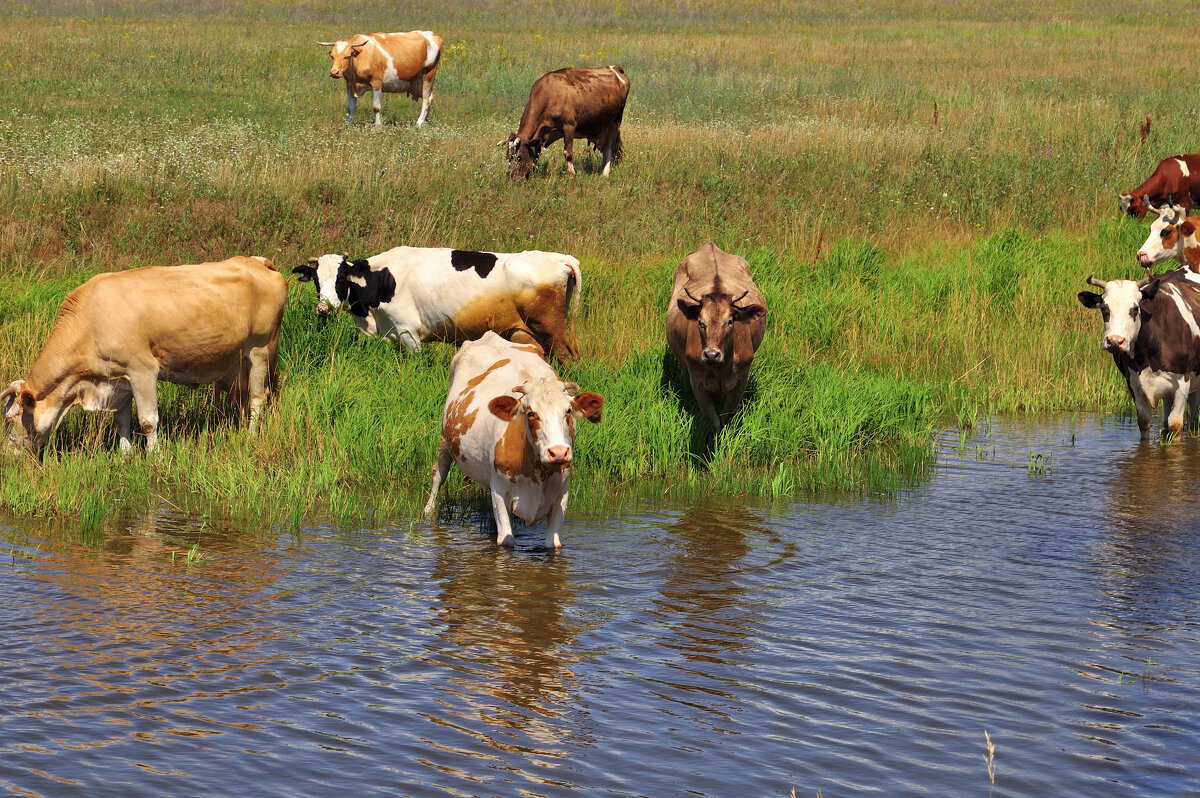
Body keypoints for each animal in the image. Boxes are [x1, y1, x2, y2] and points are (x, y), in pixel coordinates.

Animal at [2, 255, 288, 453]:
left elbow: (148, 421)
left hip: (259, 350)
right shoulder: (118, 378)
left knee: (257, 398)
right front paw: (125, 455)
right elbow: (121, 420)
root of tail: (257, 262)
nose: (7, 456)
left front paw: (155, 456)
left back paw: (250, 436)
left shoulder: (143, 371)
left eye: (9, 419)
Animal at [295, 247, 585, 360]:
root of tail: (559, 257)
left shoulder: (409, 332)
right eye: (316, 280)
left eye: (341, 278)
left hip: (551, 330)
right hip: (526, 335)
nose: (323, 309)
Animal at [427, 328, 604, 547]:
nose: (558, 453)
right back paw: (428, 511)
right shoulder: (499, 492)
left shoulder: (561, 493)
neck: (538, 472)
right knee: (439, 473)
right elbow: (506, 539)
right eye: (531, 413)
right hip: (445, 436)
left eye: (568, 411)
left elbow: (553, 543)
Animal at [501, 64, 633, 180]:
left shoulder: (569, 126)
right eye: (508, 157)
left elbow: (568, 152)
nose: (514, 178)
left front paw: (571, 175)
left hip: (615, 120)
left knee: (609, 146)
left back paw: (605, 173)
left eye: (518, 157)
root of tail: (615, 68)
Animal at [667, 240, 768, 432]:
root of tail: (709, 245)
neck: (721, 367)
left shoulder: (741, 379)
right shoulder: (698, 381)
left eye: (730, 321)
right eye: (700, 322)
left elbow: (727, 417)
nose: (711, 354)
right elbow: (713, 421)